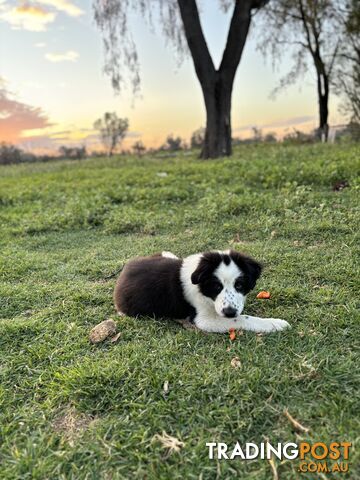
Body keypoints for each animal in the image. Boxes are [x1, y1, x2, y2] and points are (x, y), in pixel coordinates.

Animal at [114, 251, 292, 334]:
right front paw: (274, 323)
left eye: (239, 285)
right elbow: (242, 318)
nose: (229, 312)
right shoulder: (204, 320)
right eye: (216, 287)